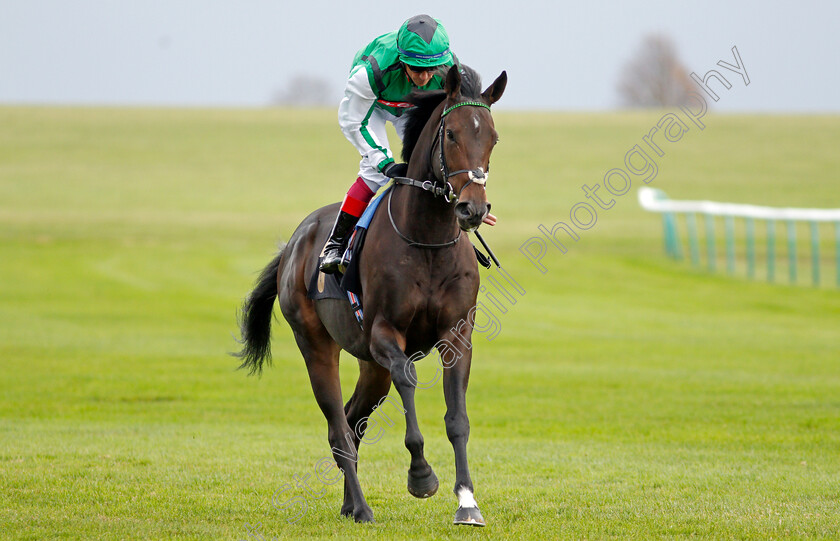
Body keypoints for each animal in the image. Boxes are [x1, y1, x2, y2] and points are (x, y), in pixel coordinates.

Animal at [235, 65, 506, 524]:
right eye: (451, 134)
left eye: (492, 136)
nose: (472, 209)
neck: (427, 240)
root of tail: (293, 245)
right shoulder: (384, 333)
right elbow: (408, 378)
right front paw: (421, 476)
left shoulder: (456, 336)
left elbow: (457, 418)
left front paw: (467, 502)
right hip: (316, 344)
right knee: (338, 428)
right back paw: (361, 507)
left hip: (369, 366)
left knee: (352, 420)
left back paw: (350, 503)